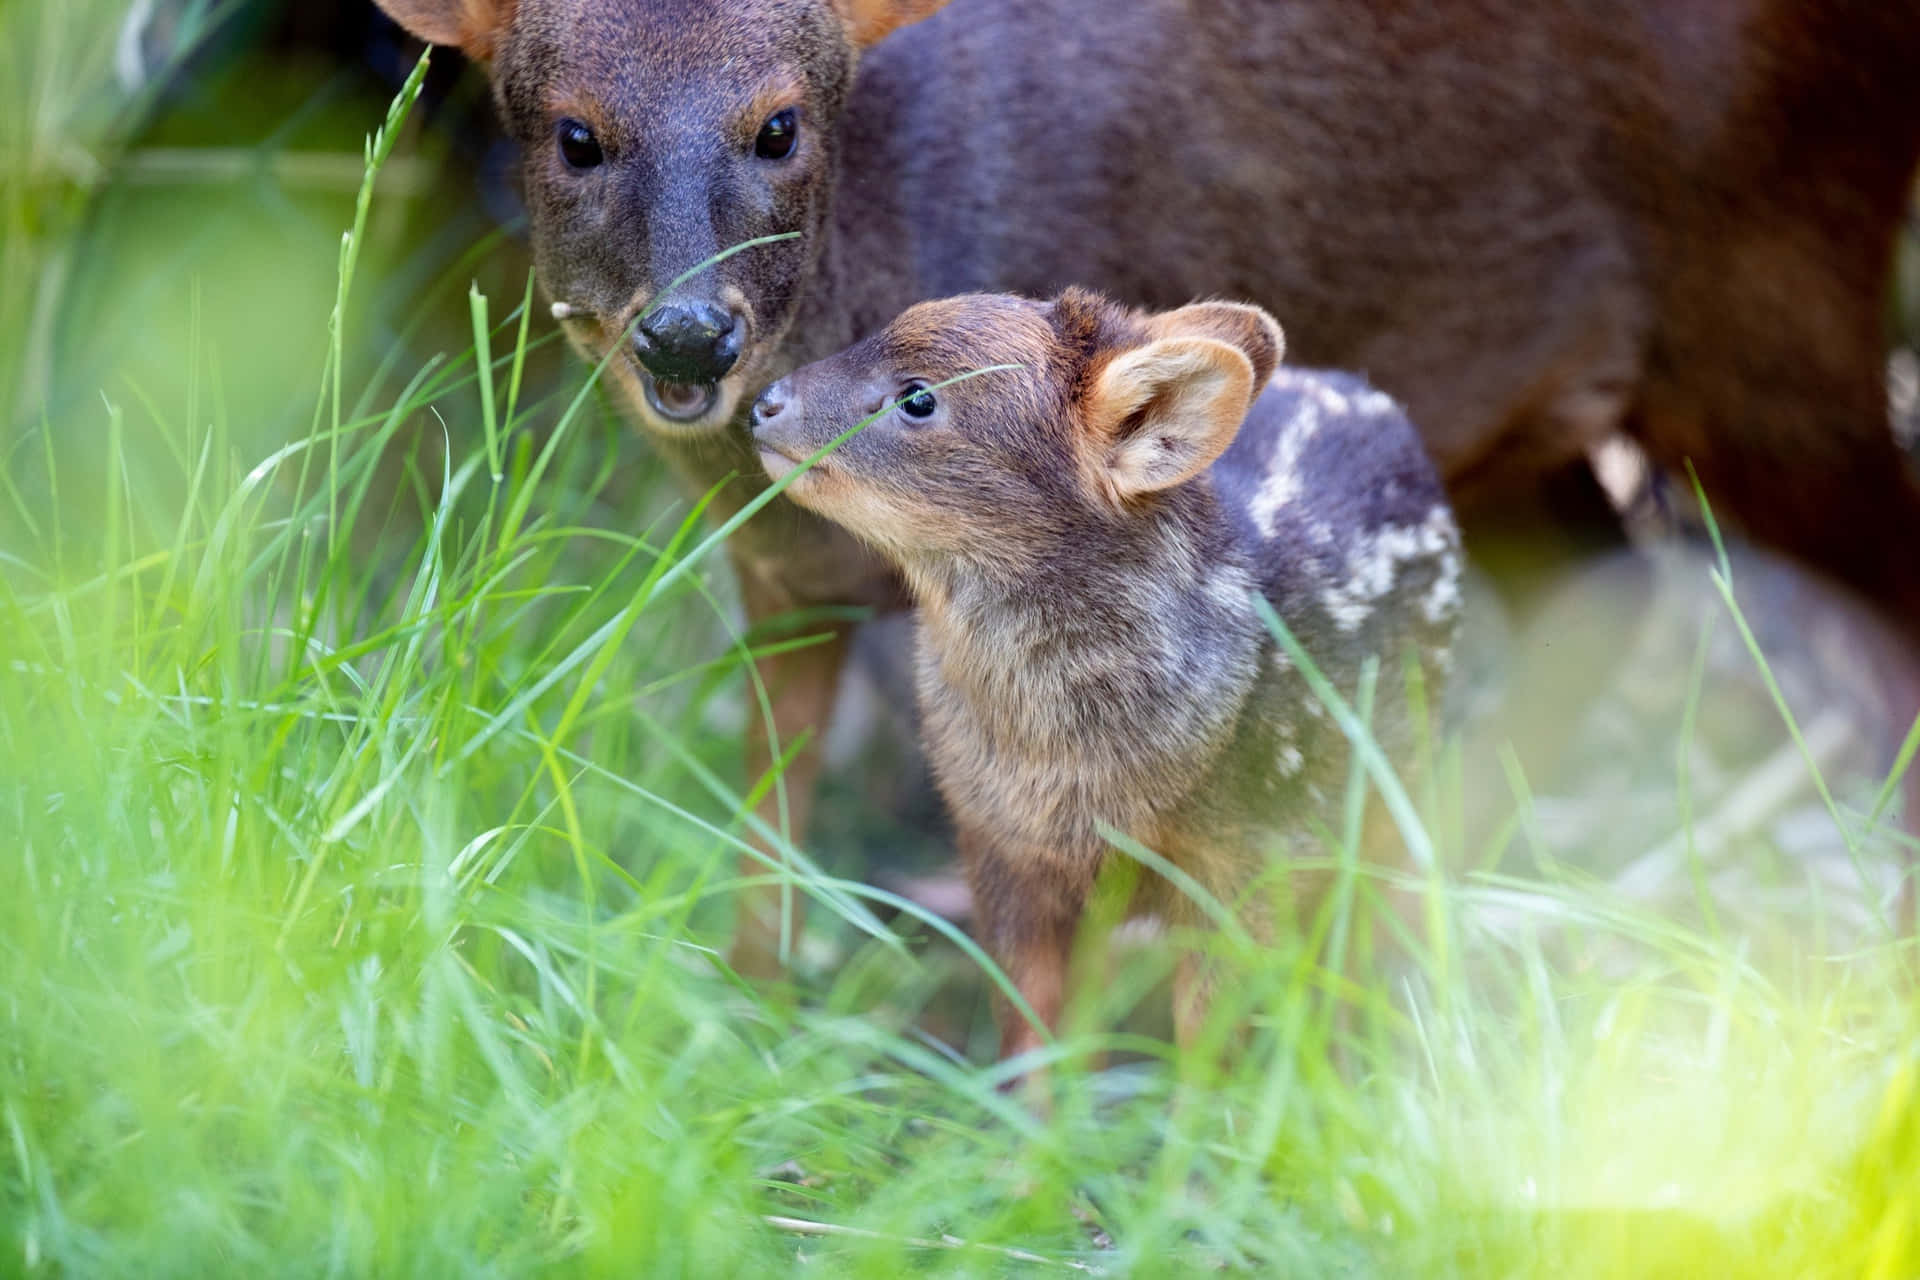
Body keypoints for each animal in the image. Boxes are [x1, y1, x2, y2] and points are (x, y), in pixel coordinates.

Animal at [370, 0, 1920, 967]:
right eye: (574, 133)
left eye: (780, 124)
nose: (690, 337)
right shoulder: (779, 576)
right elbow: (766, 825)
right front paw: (754, 1011)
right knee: (1598, 582)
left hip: (1772, 296)